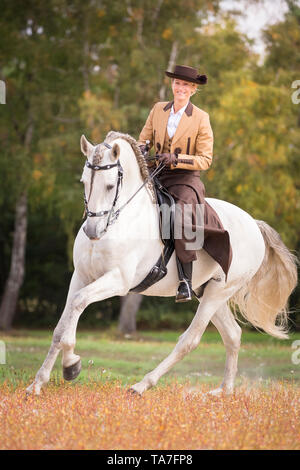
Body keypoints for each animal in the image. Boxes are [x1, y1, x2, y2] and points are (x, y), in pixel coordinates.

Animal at [26, 132, 298, 396]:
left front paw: (70, 364)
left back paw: (142, 385)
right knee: (233, 335)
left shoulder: (118, 280)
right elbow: (62, 324)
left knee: (190, 340)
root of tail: (253, 223)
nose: (93, 231)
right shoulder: (81, 277)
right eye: (84, 182)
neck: (120, 219)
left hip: (218, 293)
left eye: (110, 185)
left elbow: (79, 303)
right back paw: (224, 391)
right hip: (208, 291)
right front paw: (39, 382)